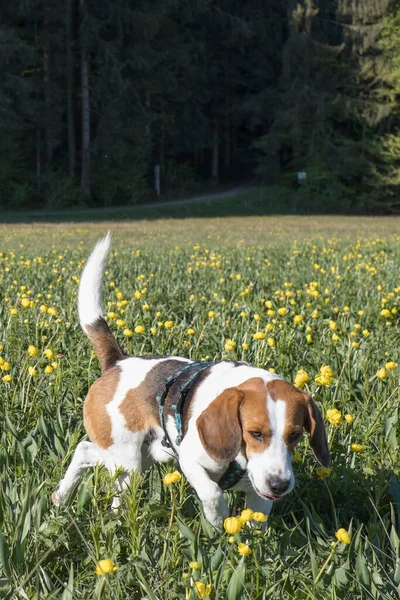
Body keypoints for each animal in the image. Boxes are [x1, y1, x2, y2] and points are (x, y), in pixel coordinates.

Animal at [51, 234, 330, 528]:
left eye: (295, 435)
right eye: (256, 433)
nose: (279, 485)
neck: (239, 456)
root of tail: (117, 361)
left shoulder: (259, 494)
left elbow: (256, 521)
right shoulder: (189, 459)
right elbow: (212, 492)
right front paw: (218, 521)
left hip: (140, 457)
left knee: (87, 454)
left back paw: (64, 496)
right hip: (128, 461)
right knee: (103, 472)